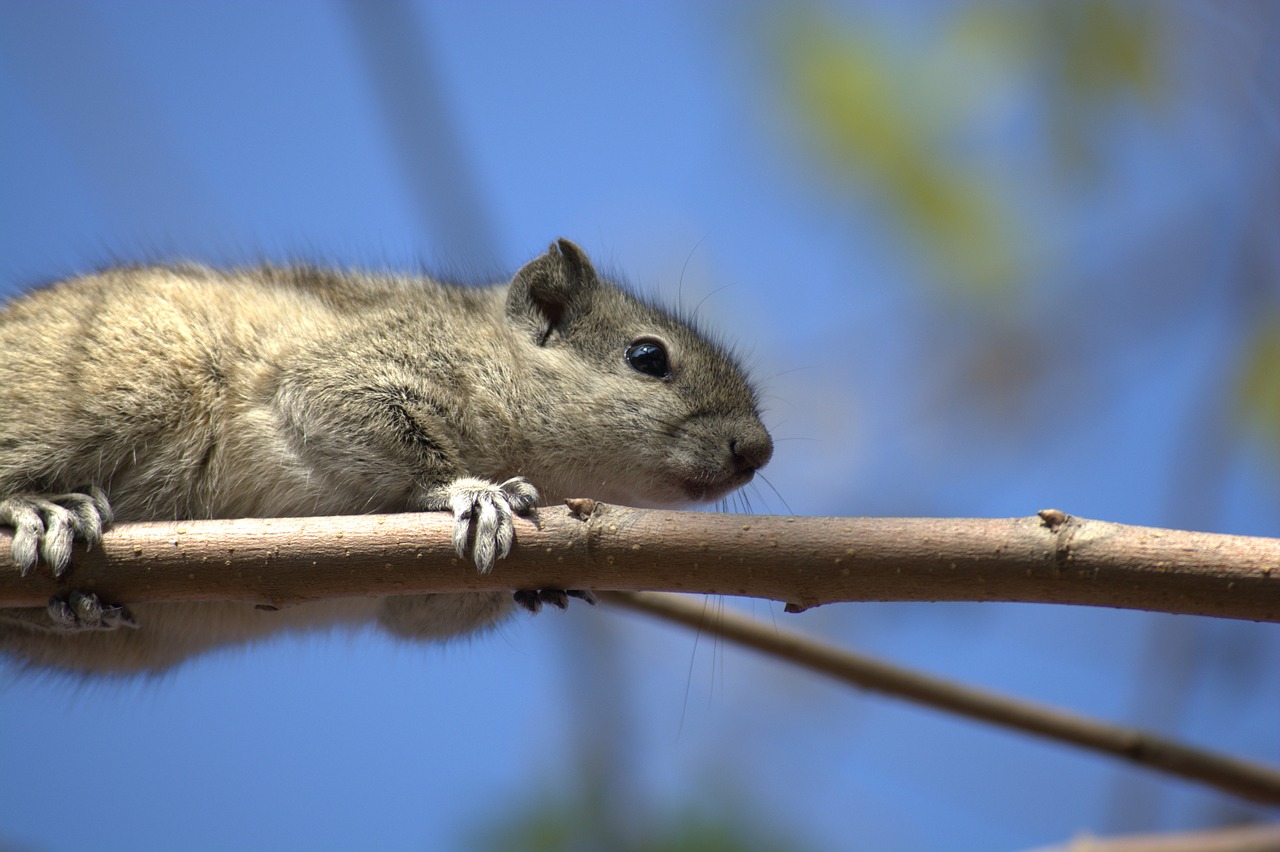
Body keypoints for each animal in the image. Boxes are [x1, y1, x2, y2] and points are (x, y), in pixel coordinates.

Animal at [0, 240, 768, 675]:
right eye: (647, 357)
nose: (757, 450)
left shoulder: (405, 594)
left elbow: (419, 616)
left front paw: (539, 586)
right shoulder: (346, 373)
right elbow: (357, 423)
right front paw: (471, 492)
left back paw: (77, 608)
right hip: (115, 389)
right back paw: (39, 510)